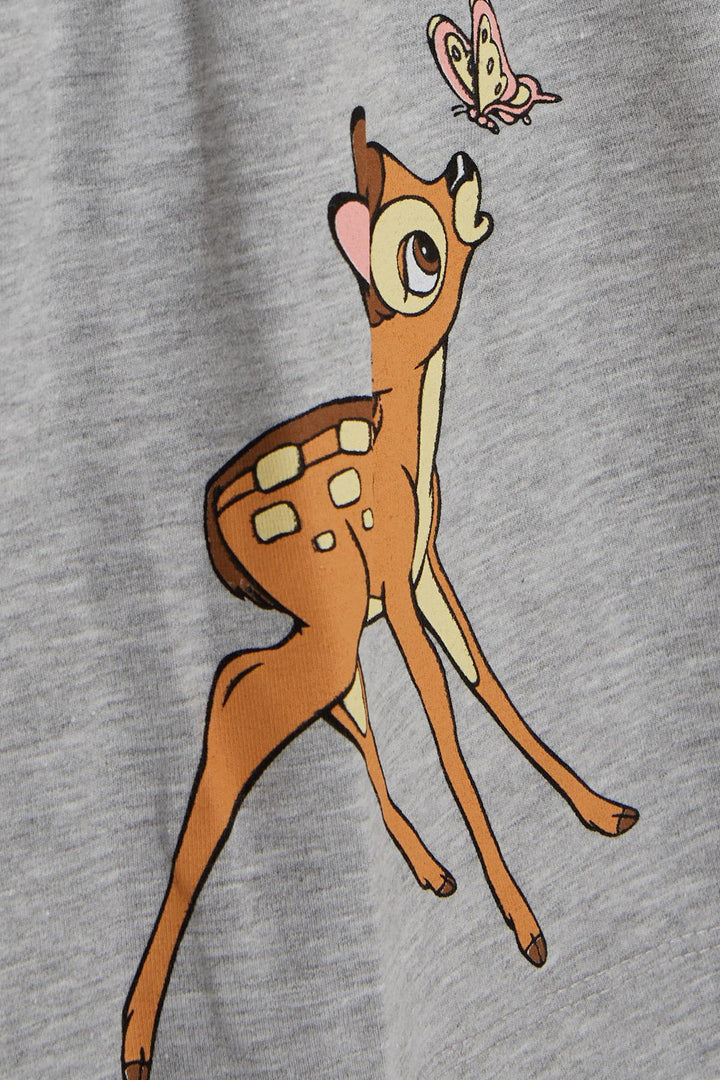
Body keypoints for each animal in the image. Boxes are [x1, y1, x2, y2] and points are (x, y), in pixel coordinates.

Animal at [121, 107, 638, 1080]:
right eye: (419, 251)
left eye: (427, 173)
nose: (465, 158)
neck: (406, 445)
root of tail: (210, 521)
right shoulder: (392, 585)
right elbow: (446, 724)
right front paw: (527, 926)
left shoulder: (425, 571)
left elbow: (485, 681)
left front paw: (602, 810)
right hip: (327, 622)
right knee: (240, 705)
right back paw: (136, 1036)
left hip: (326, 628)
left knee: (281, 690)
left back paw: (431, 869)